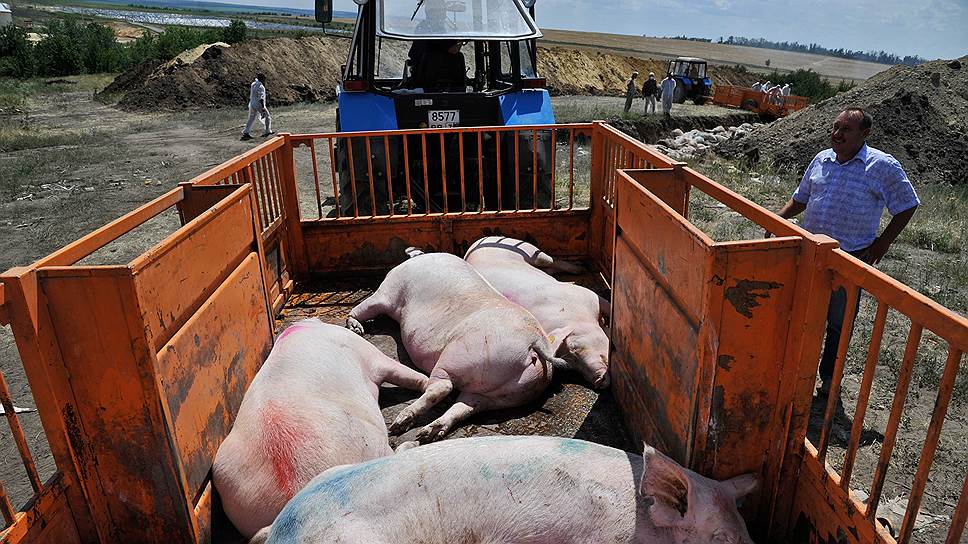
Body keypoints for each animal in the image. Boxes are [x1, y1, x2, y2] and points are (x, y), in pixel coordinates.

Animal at [346, 251, 568, 446]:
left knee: (442, 386)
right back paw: (426, 434)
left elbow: (367, 306)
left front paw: (355, 327)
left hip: (463, 353)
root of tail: (535, 343)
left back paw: (399, 424)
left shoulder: (389, 292)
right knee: (465, 408)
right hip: (506, 393)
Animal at [466, 236, 608, 388]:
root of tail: (481, 240)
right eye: (572, 364)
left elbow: (606, 304)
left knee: (551, 260)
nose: (598, 380)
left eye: (574, 347)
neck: (579, 316)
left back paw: (579, 269)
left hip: (532, 251)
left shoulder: (588, 295)